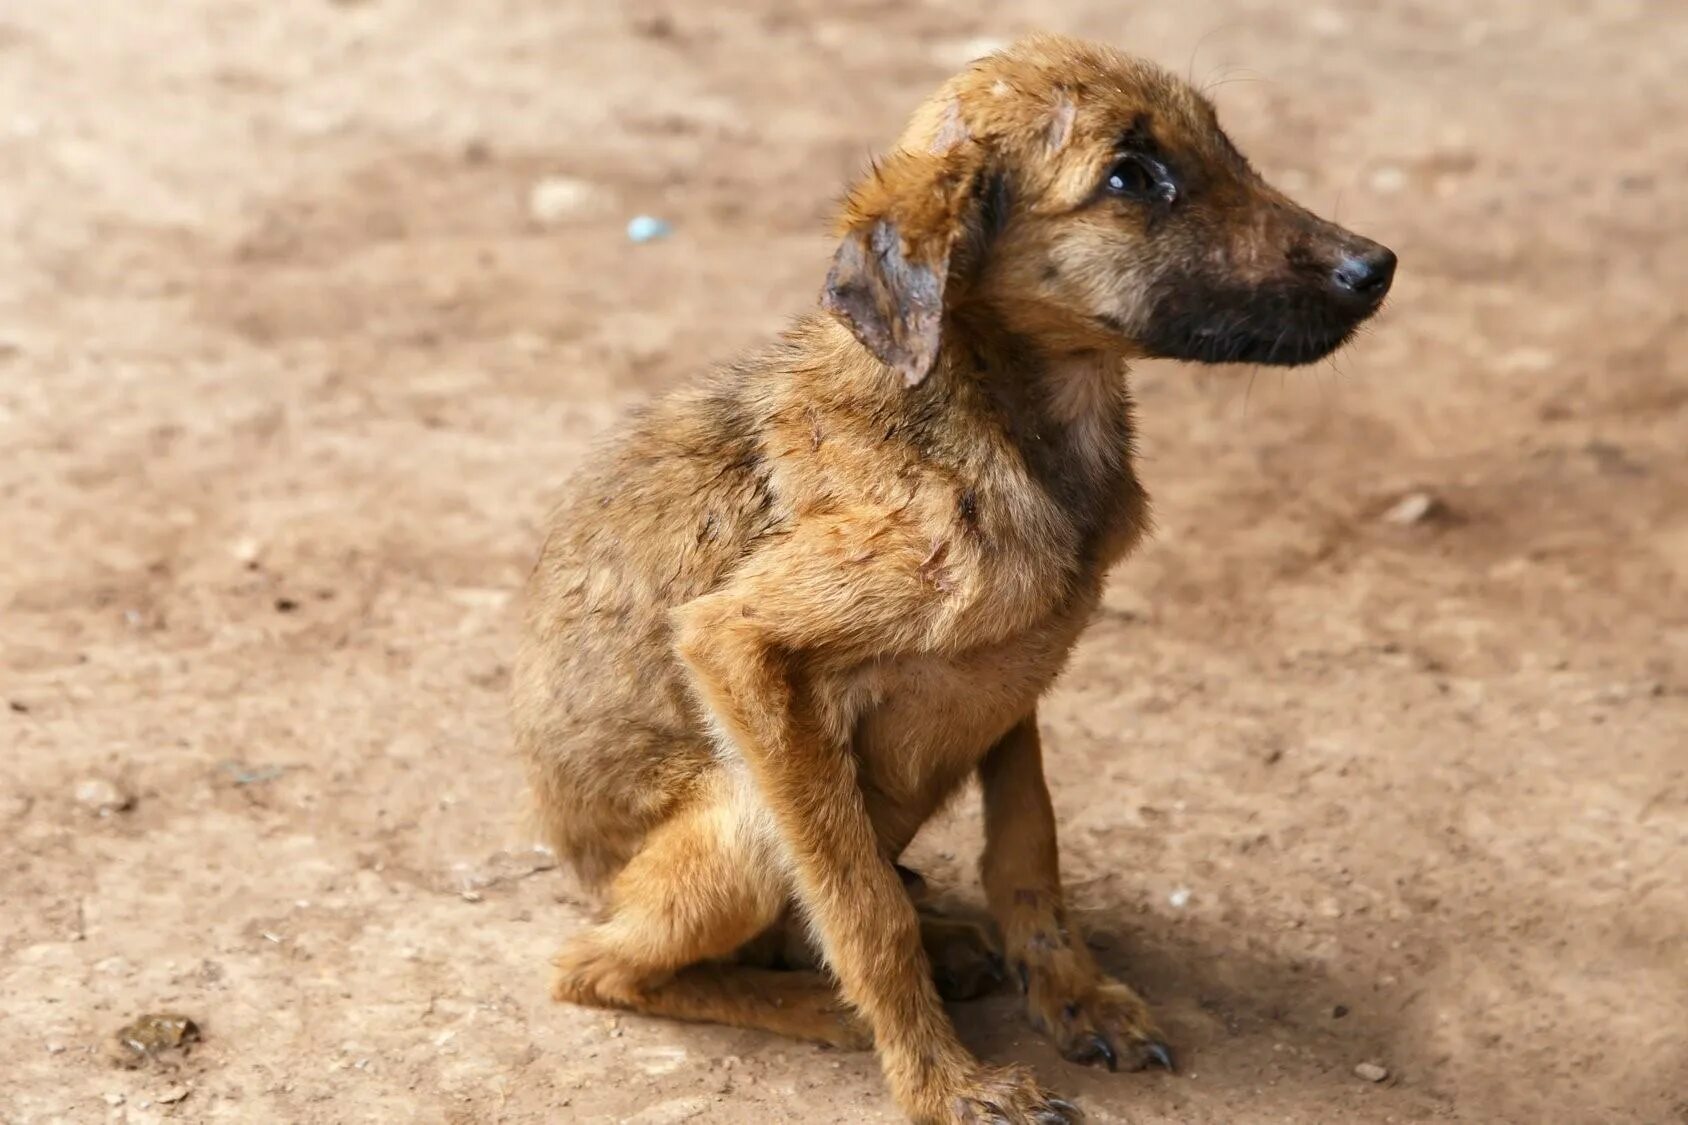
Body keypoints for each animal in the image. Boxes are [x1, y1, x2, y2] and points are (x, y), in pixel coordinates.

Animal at [513, 32, 1397, 1121]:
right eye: (1130, 176)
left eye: (1225, 147)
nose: (1377, 267)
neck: (997, 416)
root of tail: (582, 871)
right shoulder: (737, 641)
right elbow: (862, 911)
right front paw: (939, 1079)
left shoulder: (1016, 677)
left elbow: (1026, 847)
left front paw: (1071, 993)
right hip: (742, 807)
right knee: (598, 967)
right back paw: (822, 1006)